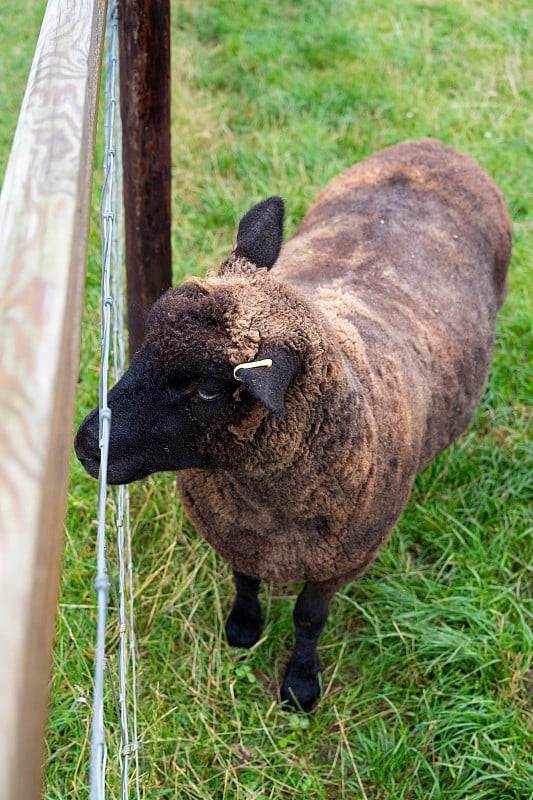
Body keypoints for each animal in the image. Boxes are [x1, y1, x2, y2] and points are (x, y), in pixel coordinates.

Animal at [75, 139, 512, 712]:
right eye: (143, 345)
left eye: (208, 390)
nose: (86, 445)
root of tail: (438, 147)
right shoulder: (234, 533)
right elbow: (244, 580)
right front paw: (242, 629)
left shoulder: (341, 563)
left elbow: (309, 619)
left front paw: (301, 684)